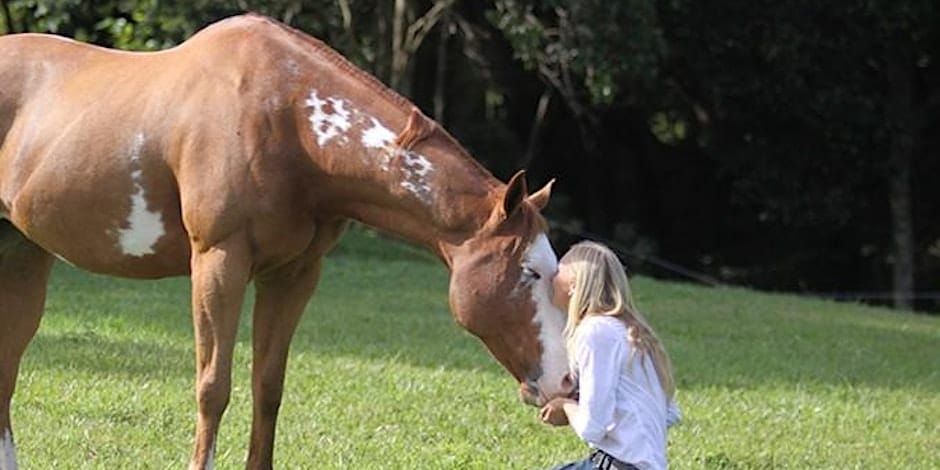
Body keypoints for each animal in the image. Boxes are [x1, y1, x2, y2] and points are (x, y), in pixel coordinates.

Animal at [0, 13, 572, 470]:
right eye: (529, 272)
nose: (567, 384)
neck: (288, 121)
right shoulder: (218, 263)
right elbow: (213, 388)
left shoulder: (293, 274)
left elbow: (268, 387)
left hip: (25, 256)